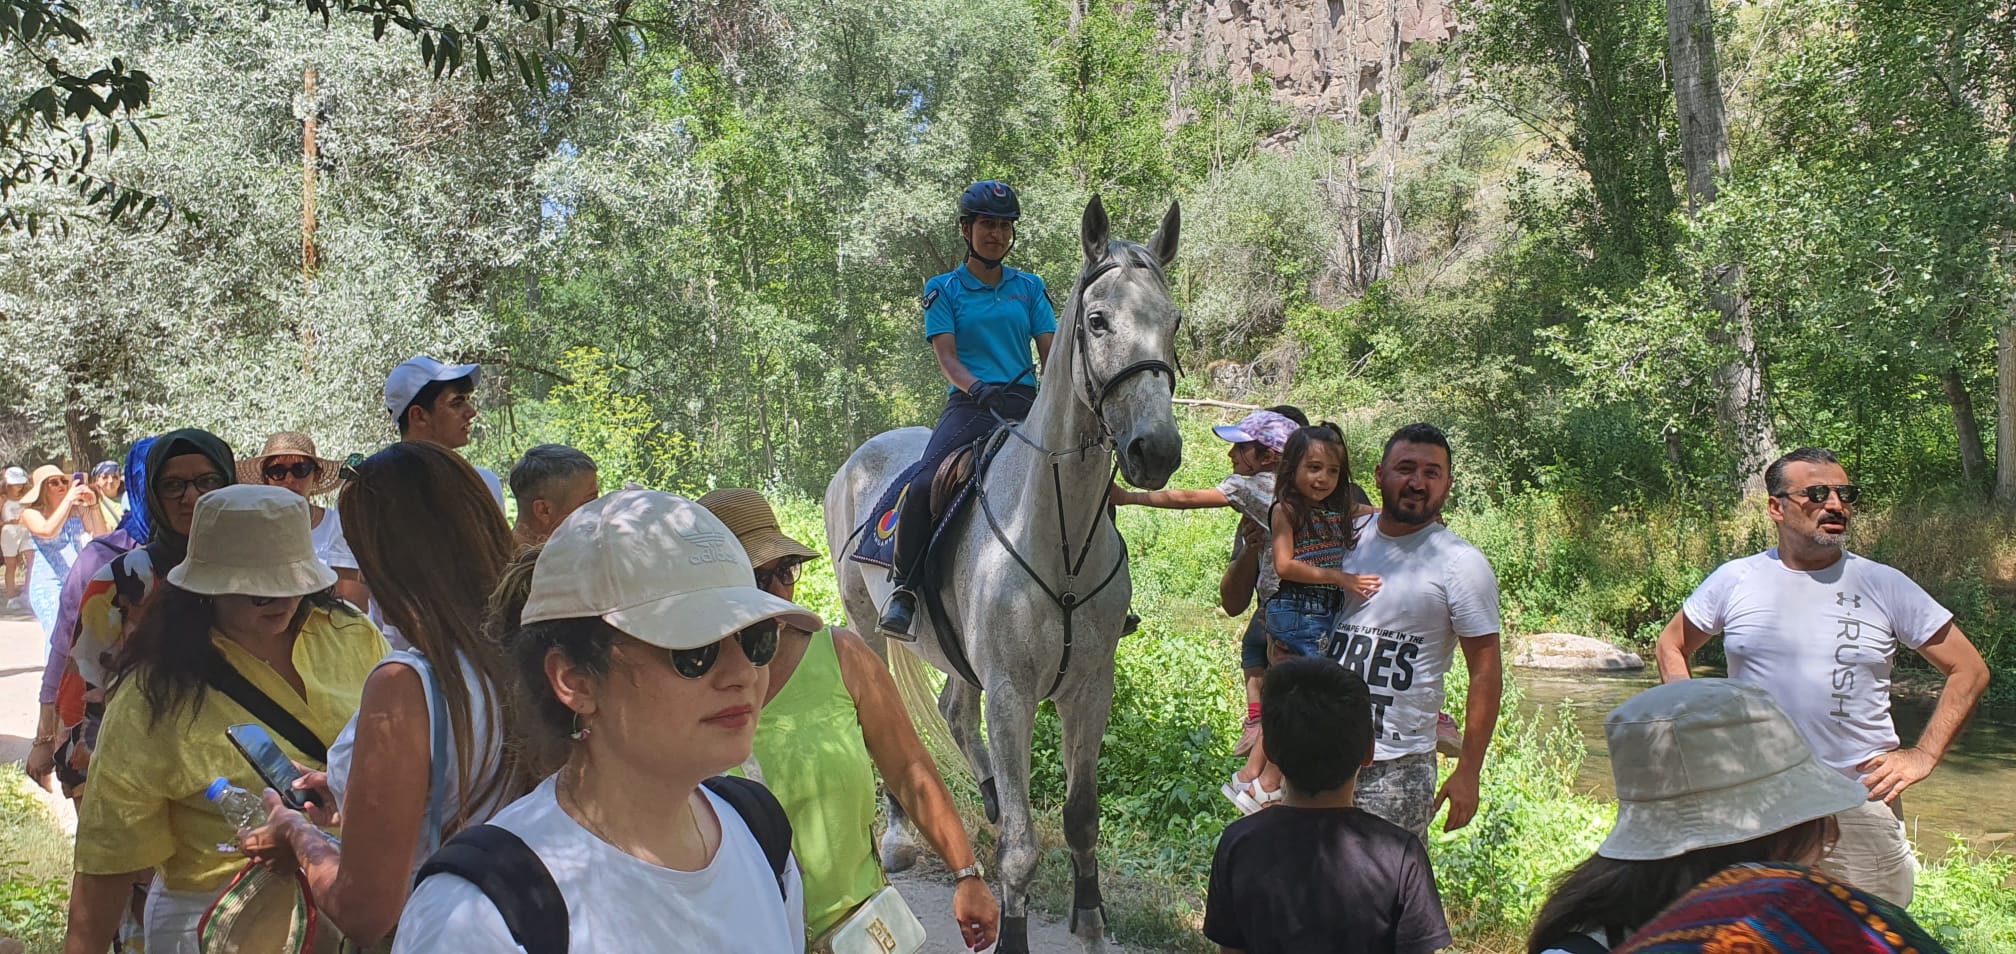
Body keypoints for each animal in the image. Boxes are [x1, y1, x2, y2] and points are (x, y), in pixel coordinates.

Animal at [826, 196, 1185, 947]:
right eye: (1097, 320)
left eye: (1172, 322)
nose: (1156, 450)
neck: (1055, 533)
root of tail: (859, 457)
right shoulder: (1013, 693)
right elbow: (1021, 850)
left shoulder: (1089, 688)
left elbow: (1080, 821)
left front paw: (1091, 920)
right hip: (865, 625)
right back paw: (901, 837)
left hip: (963, 660)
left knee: (952, 712)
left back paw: (987, 798)